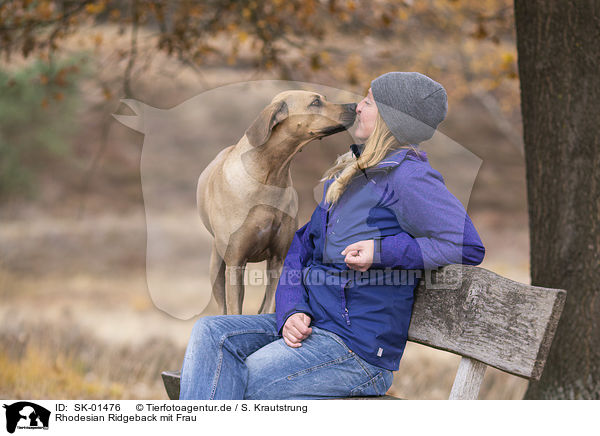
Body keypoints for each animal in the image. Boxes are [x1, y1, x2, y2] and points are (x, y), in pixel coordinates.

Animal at [197, 91, 356, 314]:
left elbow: (271, 303)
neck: (268, 176)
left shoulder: (278, 259)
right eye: (315, 102)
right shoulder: (235, 262)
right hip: (217, 267)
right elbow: (235, 309)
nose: (355, 106)